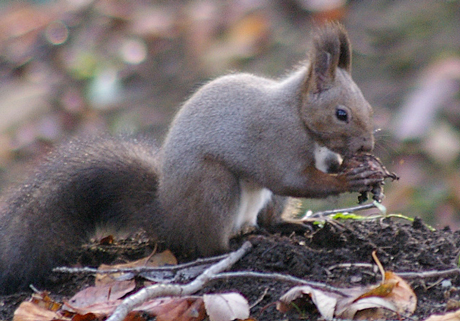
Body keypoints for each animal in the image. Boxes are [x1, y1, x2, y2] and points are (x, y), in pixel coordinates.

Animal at [0, 21, 380, 292]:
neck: (297, 112)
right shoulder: (276, 140)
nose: (366, 147)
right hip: (213, 187)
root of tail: (169, 217)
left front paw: (356, 167)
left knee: (268, 219)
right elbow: (293, 179)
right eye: (341, 114)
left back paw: (292, 225)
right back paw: (239, 244)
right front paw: (351, 176)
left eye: (368, 106)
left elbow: (317, 169)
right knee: (209, 246)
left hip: (261, 200)